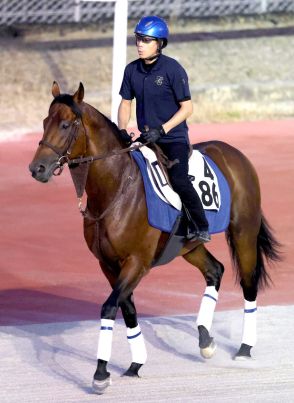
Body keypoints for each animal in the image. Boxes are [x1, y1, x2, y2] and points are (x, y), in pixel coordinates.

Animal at [29, 82, 280, 394]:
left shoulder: (137, 262)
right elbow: (128, 309)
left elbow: (109, 307)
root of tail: (235, 154)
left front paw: (100, 373)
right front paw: (136, 364)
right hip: (189, 246)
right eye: (44, 122)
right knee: (215, 270)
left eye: (65, 124)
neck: (116, 189)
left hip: (244, 231)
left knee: (248, 283)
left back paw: (245, 348)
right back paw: (205, 338)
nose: (37, 168)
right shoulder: (108, 264)